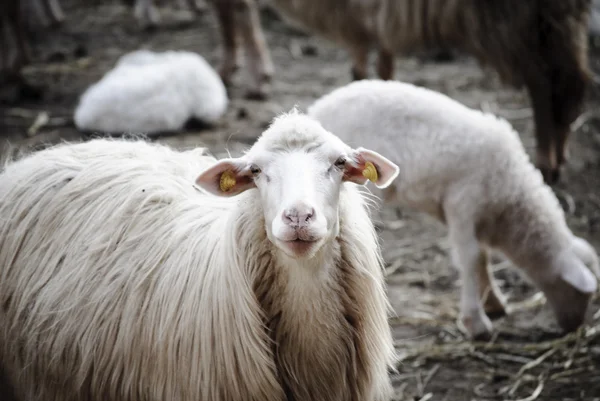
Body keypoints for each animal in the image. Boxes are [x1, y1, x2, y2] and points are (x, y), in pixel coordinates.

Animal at [210, 0, 592, 184]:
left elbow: (234, 10)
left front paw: (244, 73)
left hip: (514, 20)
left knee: (544, 82)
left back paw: (546, 161)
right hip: (552, 21)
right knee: (570, 82)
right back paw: (560, 154)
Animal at [310, 79, 600, 340]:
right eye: (580, 293)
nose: (574, 327)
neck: (510, 200)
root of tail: (315, 112)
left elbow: (483, 258)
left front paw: (494, 302)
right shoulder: (463, 204)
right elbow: (471, 257)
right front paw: (476, 322)